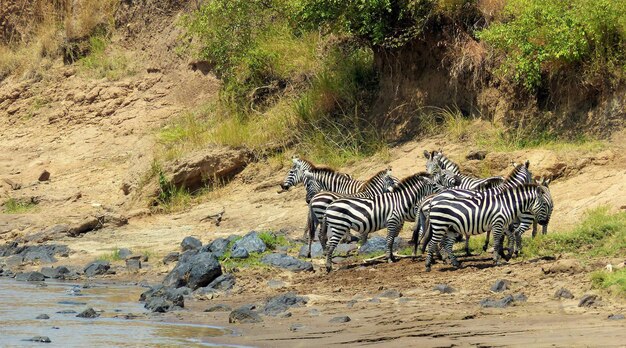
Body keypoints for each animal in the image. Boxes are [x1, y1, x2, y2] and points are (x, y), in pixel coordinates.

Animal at [420, 184, 552, 270]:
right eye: (544, 204)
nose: (545, 221)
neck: (507, 205)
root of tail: (433, 202)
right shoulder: (498, 223)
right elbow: (497, 242)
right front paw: (496, 261)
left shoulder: (502, 224)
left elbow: (510, 236)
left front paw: (507, 255)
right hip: (439, 226)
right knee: (432, 243)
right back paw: (428, 265)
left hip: (450, 229)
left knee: (447, 245)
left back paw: (456, 264)